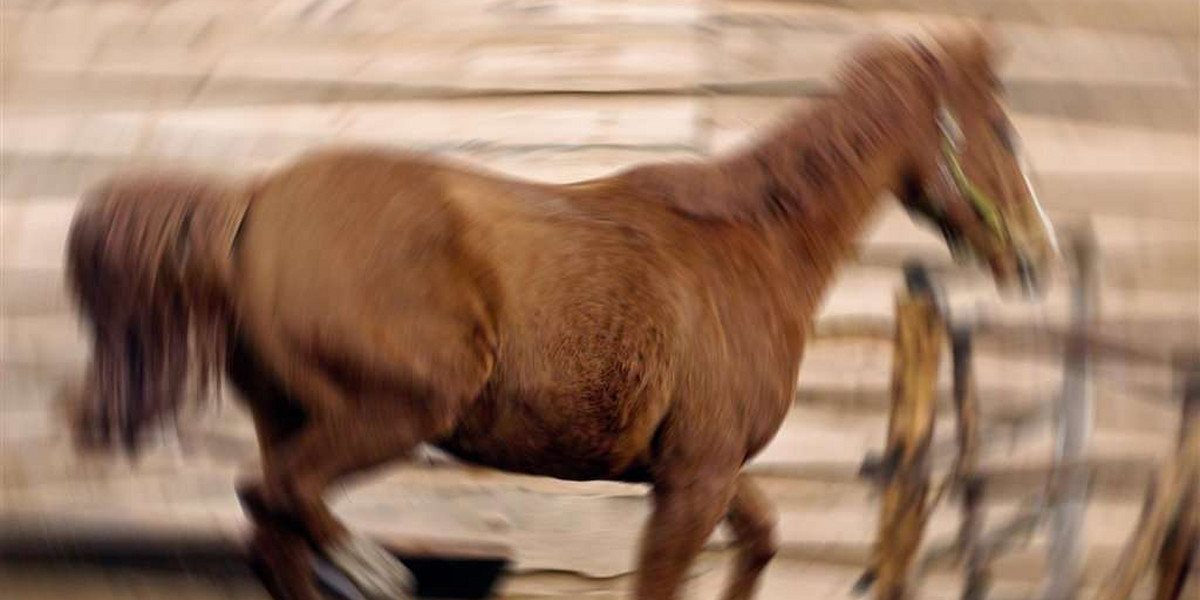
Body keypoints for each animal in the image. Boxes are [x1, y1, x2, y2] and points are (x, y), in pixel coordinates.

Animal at [68, 25, 1051, 600]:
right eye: (1002, 131)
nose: (1033, 259)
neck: (751, 251)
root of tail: (252, 205)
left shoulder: (708, 467)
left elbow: (765, 541)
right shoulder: (694, 480)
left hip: (293, 413)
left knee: (271, 528)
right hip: (397, 408)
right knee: (276, 495)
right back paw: (374, 567)